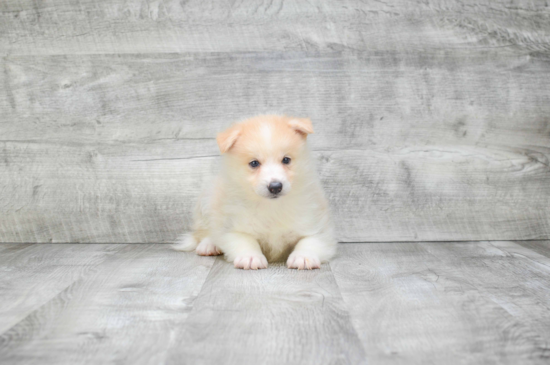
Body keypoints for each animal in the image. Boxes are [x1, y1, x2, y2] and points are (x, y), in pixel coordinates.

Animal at [174, 115, 336, 268]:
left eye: (286, 160)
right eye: (254, 163)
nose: (275, 186)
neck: (271, 207)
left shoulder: (318, 226)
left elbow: (309, 241)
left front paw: (302, 257)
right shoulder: (233, 227)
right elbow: (246, 241)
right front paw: (251, 258)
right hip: (207, 201)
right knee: (206, 232)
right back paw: (209, 245)